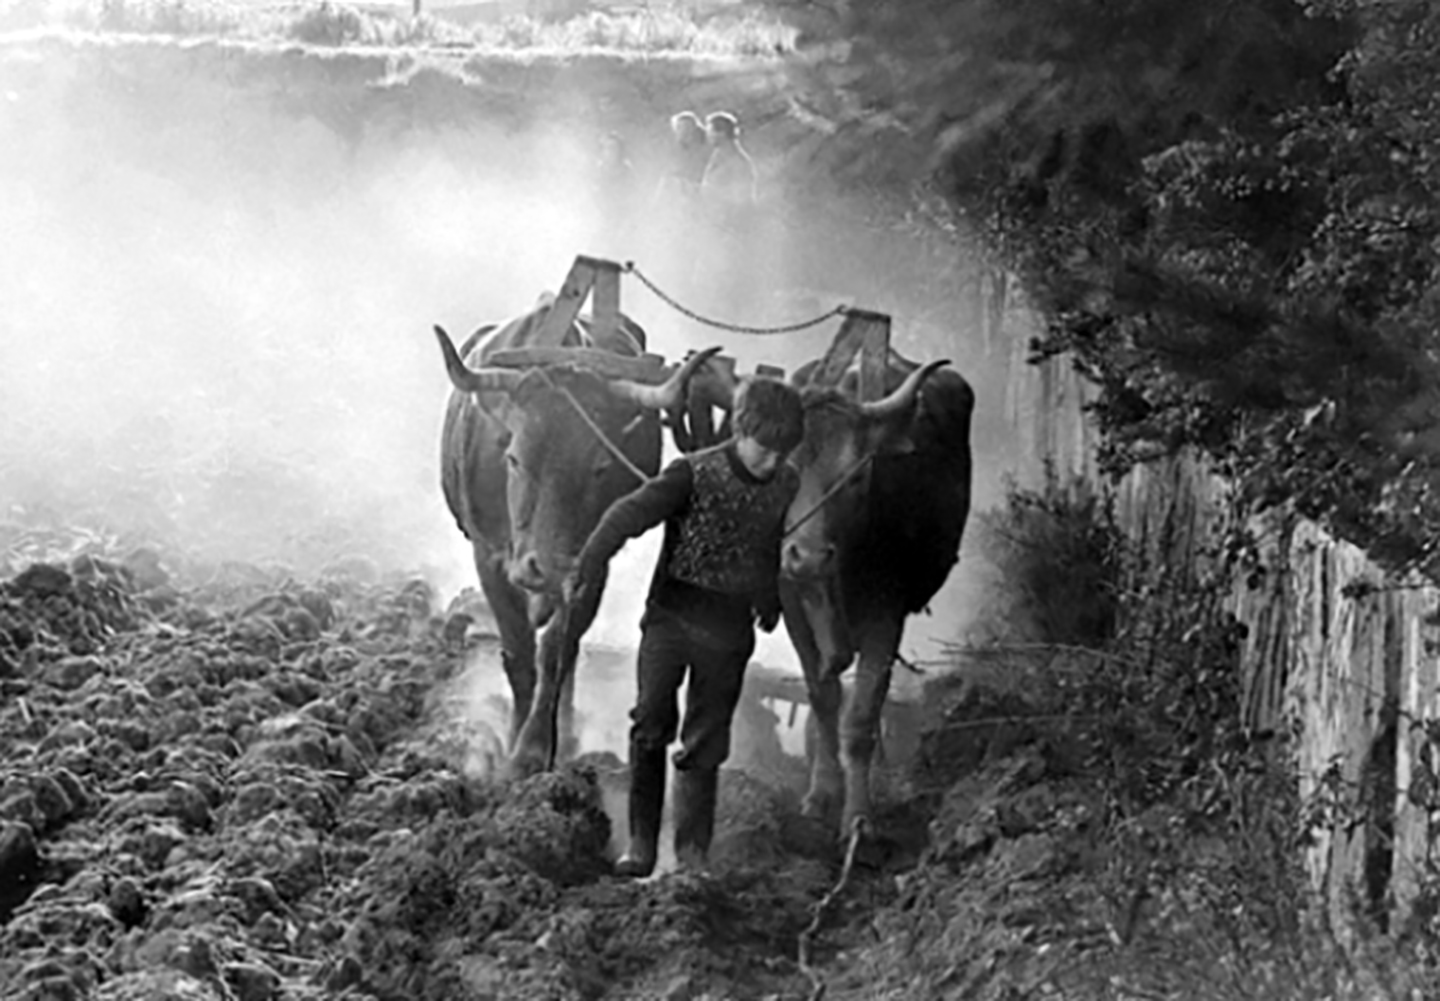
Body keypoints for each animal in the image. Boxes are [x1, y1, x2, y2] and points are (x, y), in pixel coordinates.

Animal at [434, 301, 719, 779]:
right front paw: (513, 742)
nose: (545, 568)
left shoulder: (593, 564)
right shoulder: (487, 557)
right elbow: (519, 654)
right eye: (514, 457)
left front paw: (534, 750)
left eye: (600, 467)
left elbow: (556, 653)